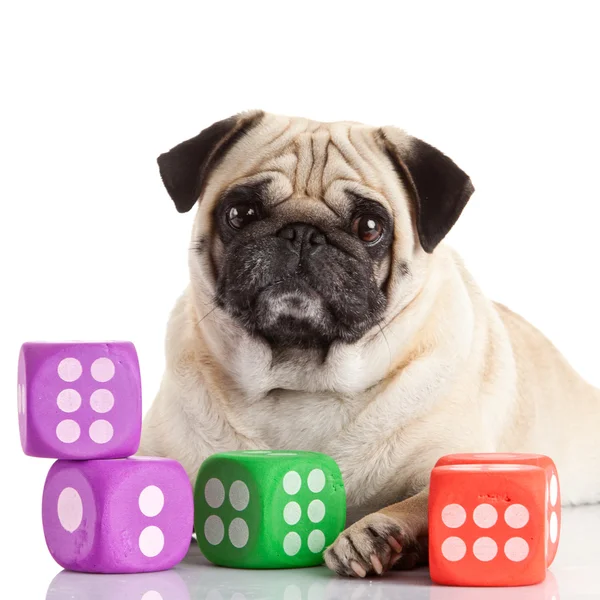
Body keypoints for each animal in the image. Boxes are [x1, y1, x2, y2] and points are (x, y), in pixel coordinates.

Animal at [138, 111, 600, 576]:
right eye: (241, 212)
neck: (302, 380)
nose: (302, 233)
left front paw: (373, 534)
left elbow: (430, 499)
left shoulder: (452, 456)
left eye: (370, 228)